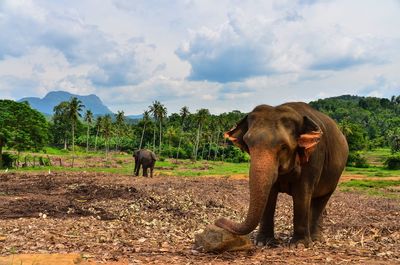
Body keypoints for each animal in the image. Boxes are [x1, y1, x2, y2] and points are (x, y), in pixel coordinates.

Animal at [214, 101, 348, 248]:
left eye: (283, 147)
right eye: (248, 144)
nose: (217, 221)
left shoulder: (314, 157)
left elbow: (302, 194)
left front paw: (299, 245)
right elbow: (270, 195)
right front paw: (263, 242)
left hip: (335, 175)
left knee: (321, 199)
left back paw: (316, 239)